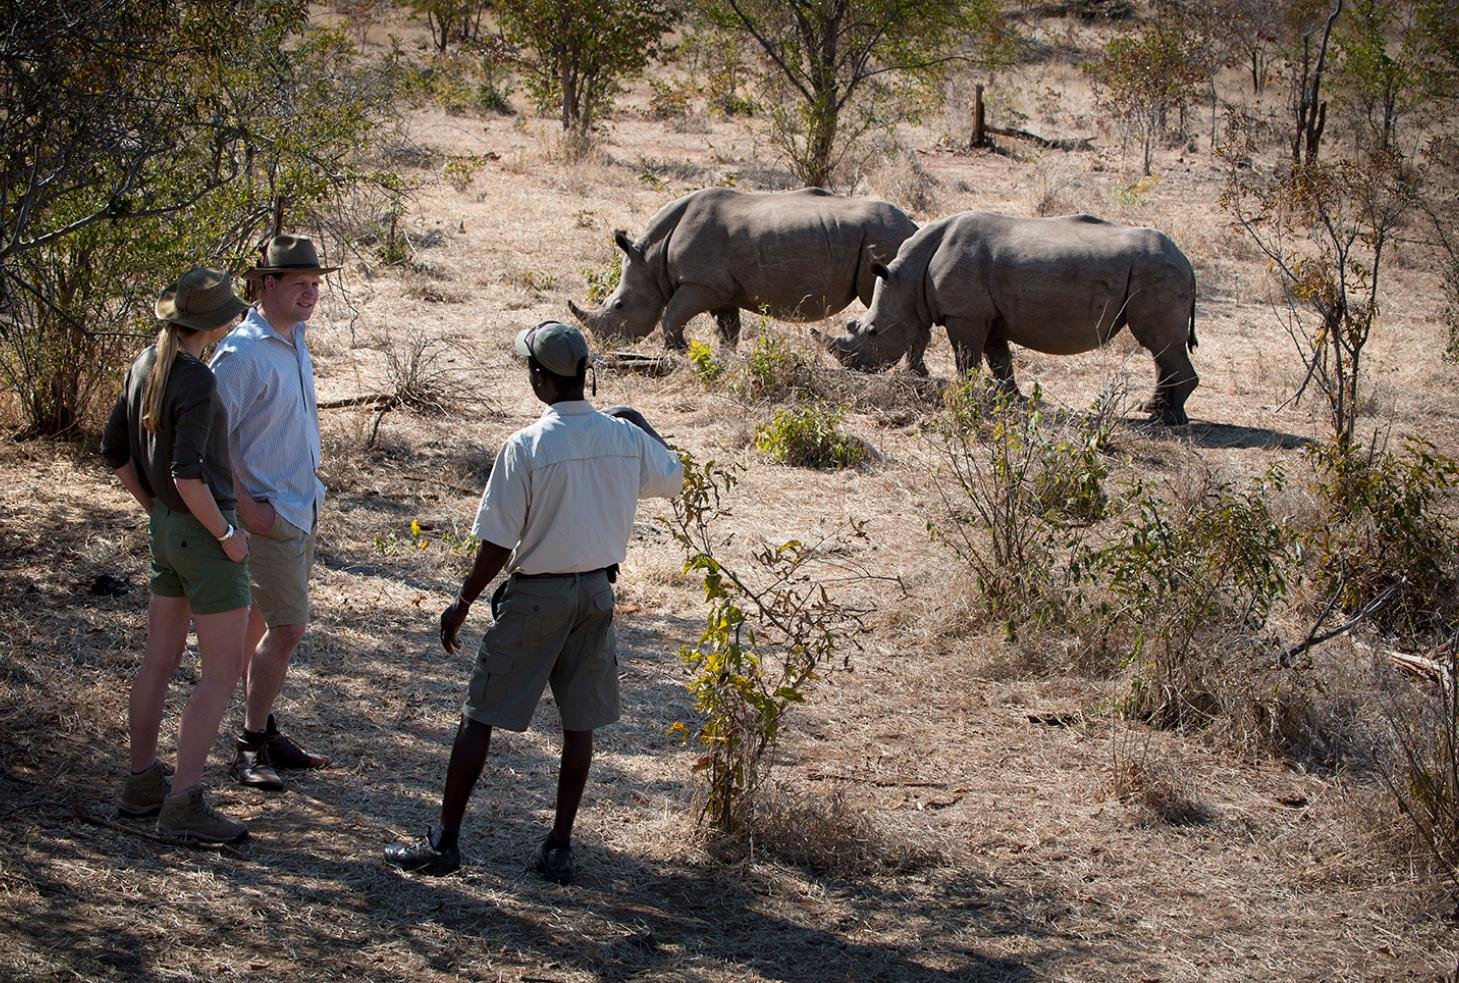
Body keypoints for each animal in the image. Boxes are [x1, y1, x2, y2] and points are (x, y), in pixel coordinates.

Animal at [567, 187, 919, 358]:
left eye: (619, 306)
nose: (605, 345)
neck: (651, 258)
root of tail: (912, 224)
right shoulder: (723, 290)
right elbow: (729, 329)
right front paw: (724, 358)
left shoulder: (701, 282)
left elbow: (671, 315)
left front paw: (679, 350)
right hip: (884, 237)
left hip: (885, 237)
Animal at [816, 212, 1200, 425]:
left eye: (872, 331)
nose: (854, 367)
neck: (908, 277)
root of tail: (1186, 260)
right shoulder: (989, 316)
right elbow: (999, 360)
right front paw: (1011, 400)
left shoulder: (965, 315)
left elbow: (967, 358)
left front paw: (966, 394)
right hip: (1158, 271)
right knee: (1159, 347)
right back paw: (1152, 410)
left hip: (1157, 273)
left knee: (1158, 342)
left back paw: (1168, 422)